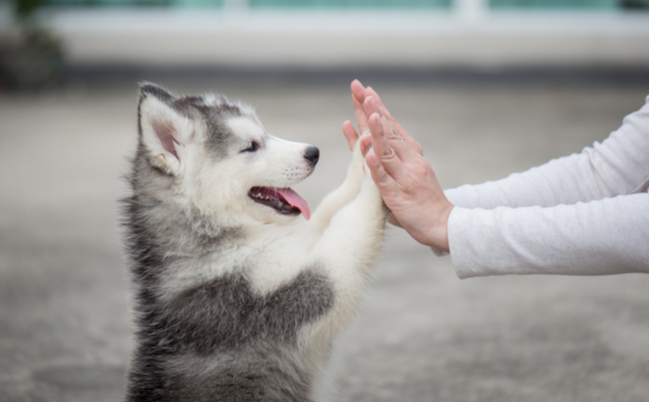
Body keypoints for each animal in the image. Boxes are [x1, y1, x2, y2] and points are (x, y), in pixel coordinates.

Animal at [121, 83, 384, 400]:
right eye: (251, 146)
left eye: (264, 133)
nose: (313, 152)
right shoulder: (290, 292)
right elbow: (351, 223)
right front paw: (379, 171)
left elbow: (331, 206)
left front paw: (364, 153)